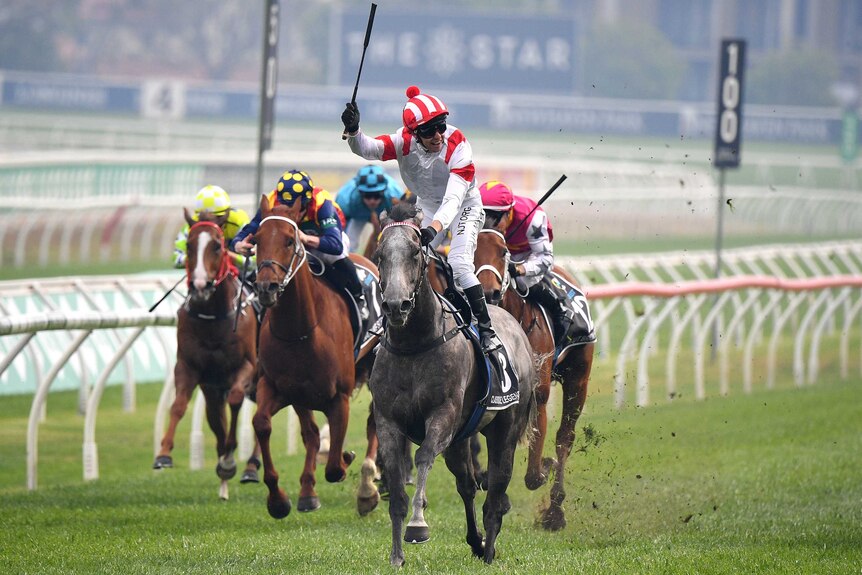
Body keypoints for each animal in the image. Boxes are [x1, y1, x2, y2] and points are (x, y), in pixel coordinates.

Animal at [153, 210, 260, 500]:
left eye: (217, 245)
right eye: (189, 245)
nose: (201, 285)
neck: (213, 318)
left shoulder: (248, 367)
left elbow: (236, 400)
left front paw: (230, 460)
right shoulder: (190, 368)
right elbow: (178, 405)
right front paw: (164, 454)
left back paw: (250, 467)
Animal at [253, 197, 382, 516]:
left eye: (290, 240)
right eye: (257, 240)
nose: (266, 287)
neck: (300, 330)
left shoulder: (339, 397)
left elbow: (335, 467)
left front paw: (348, 461)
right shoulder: (279, 388)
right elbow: (263, 424)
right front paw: (279, 499)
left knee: (375, 420)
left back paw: (367, 486)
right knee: (310, 432)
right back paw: (308, 492)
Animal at [372, 204, 540, 568]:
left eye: (415, 253)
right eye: (379, 255)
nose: (394, 305)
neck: (414, 344)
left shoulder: (442, 415)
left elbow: (422, 457)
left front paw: (418, 525)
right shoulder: (388, 422)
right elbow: (397, 487)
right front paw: (396, 556)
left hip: (505, 429)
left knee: (495, 492)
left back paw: (489, 550)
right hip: (461, 439)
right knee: (467, 485)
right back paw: (476, 542)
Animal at [472, 228, 592, 532]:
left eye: (503, 251)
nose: (487, 292)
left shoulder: (539, 390)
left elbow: (535, 469)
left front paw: (544, 466)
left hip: (579, 377)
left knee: (565, 437)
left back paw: (555, 512)